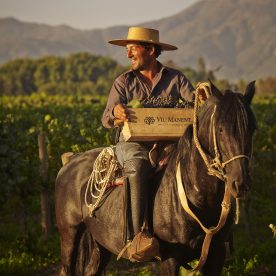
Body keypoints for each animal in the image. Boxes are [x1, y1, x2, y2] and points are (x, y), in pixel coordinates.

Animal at [55, 81, 256, 274]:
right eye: (220, 129)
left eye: (252, 129)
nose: (241, 183)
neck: (196, 195)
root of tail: (70, 161)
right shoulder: (170, 258)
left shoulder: (217, 253)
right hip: (70, 234)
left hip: (101, 243)